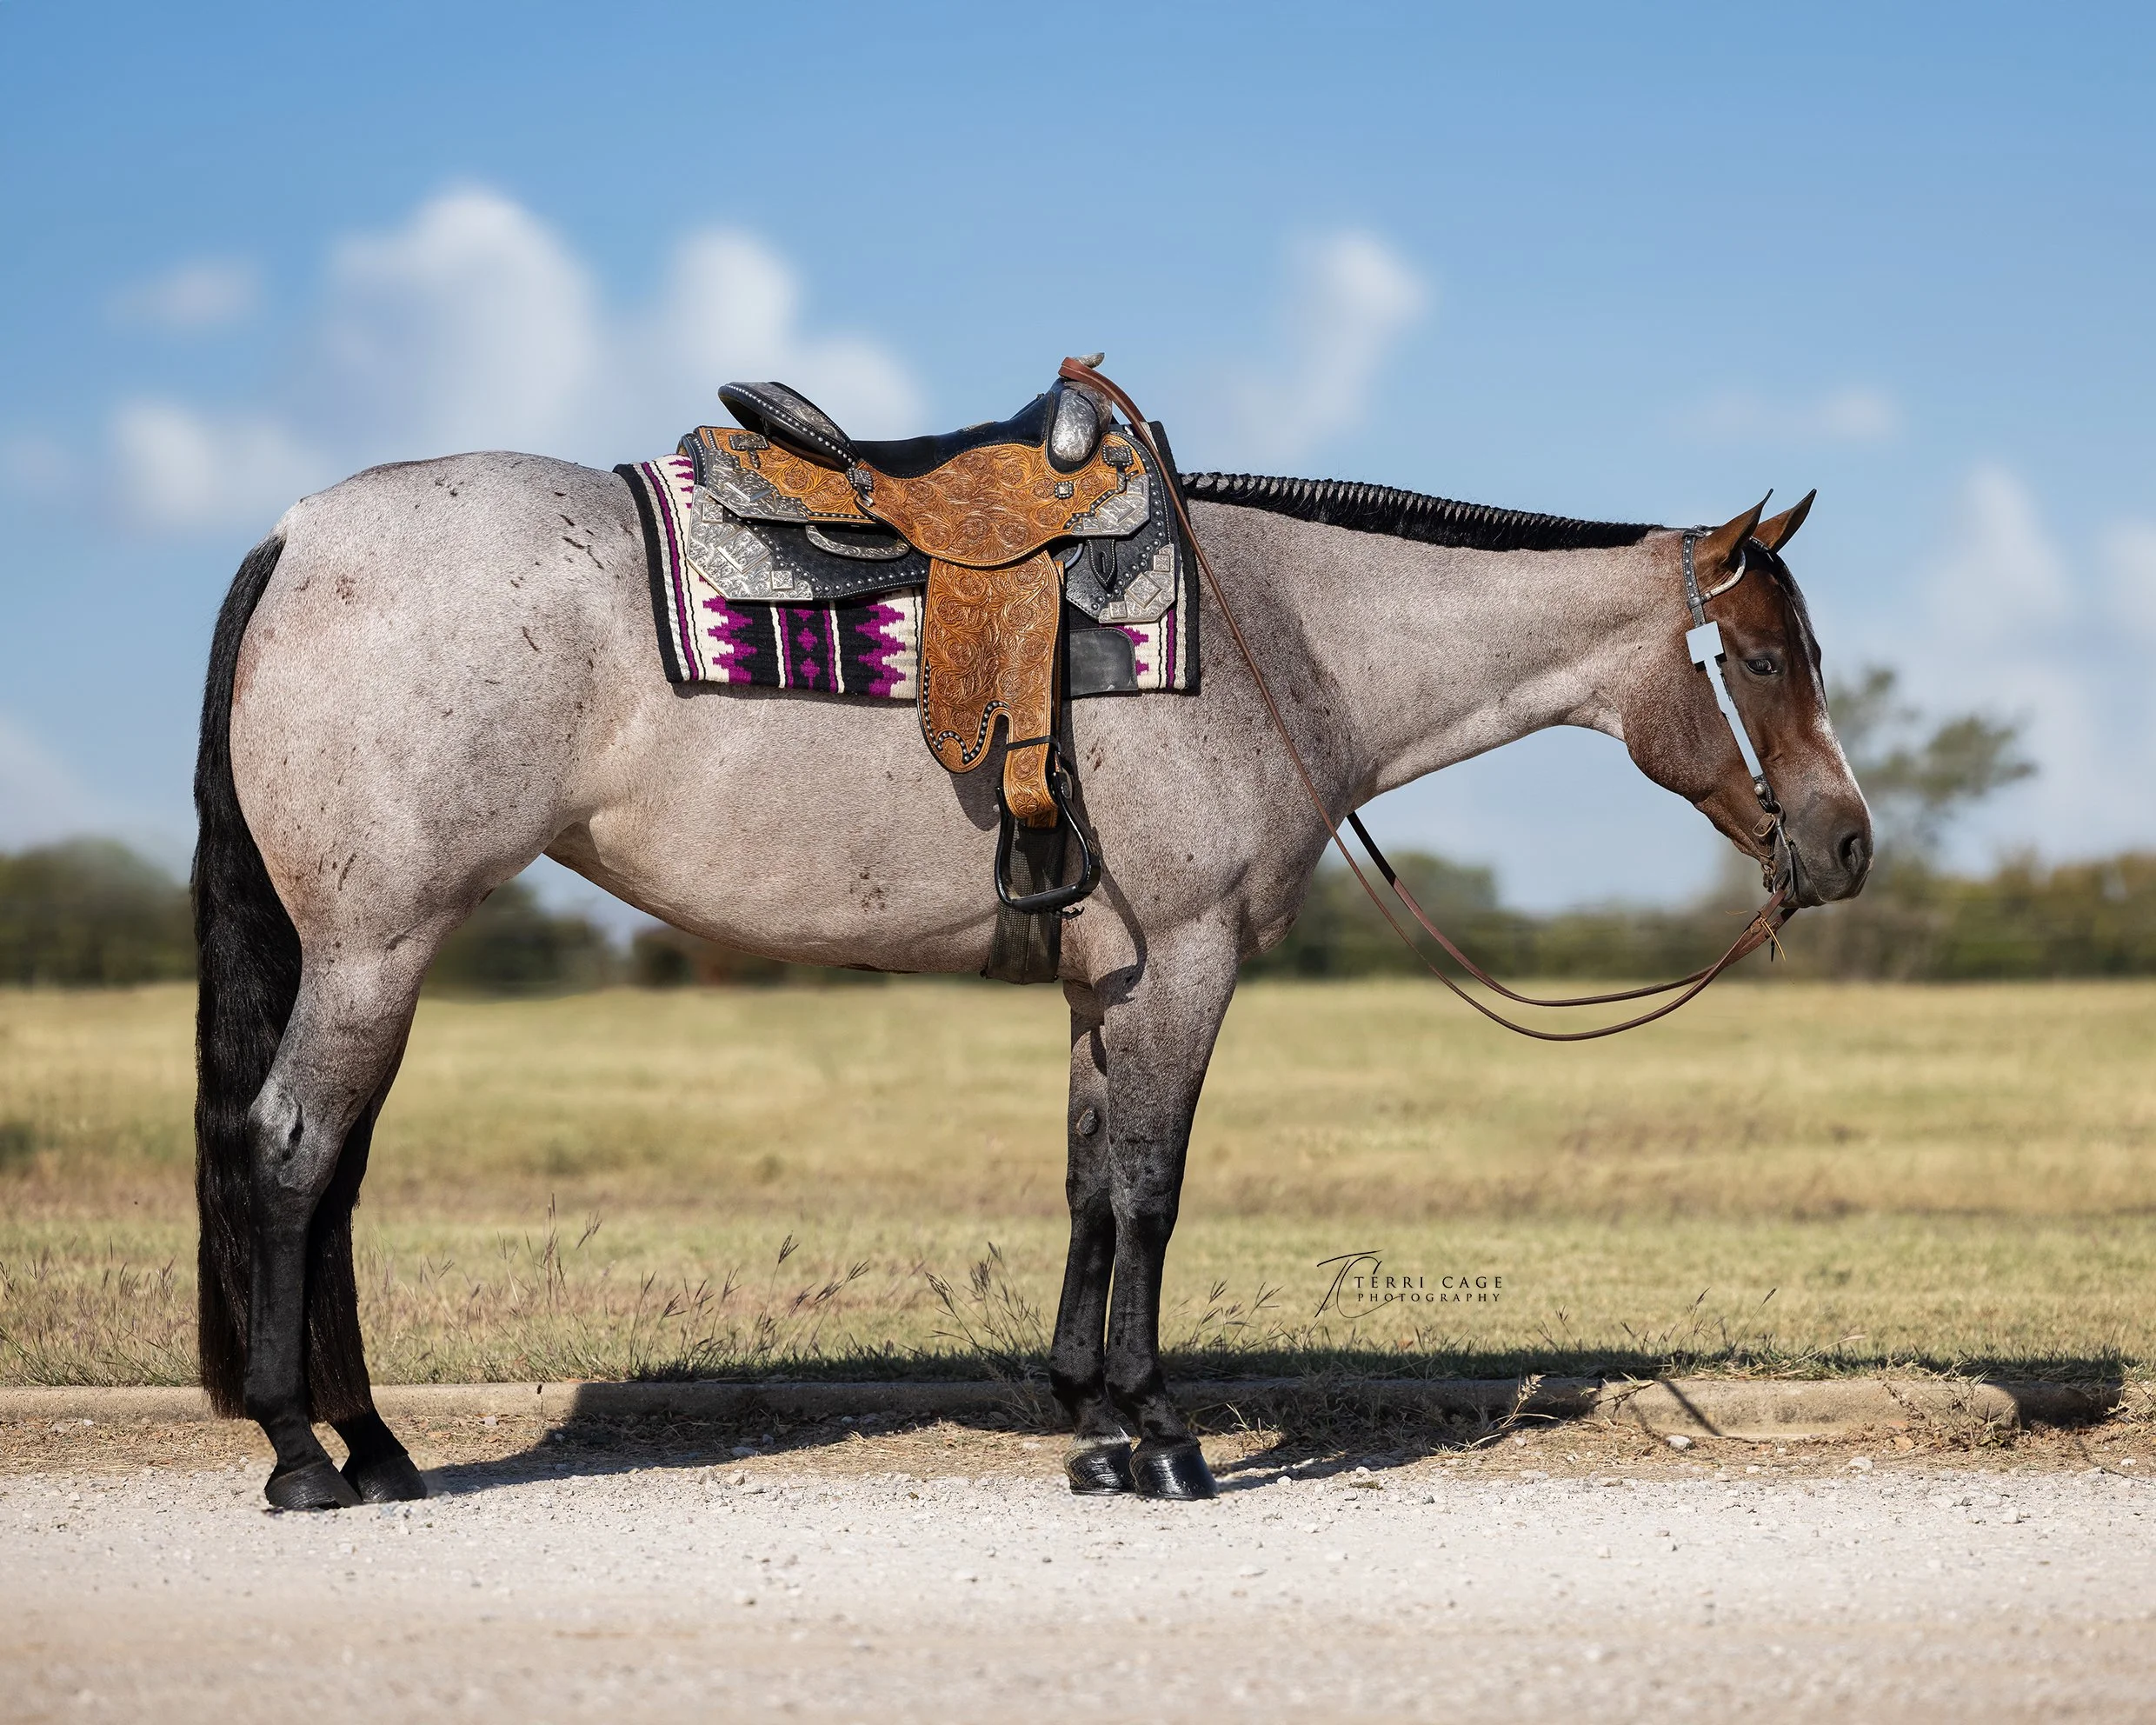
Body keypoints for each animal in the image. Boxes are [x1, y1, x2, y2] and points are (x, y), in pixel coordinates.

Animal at [192, 439, 1871, 1510]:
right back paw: (304, 1453)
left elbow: (1086, 1184)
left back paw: (373, 1444)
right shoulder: (1184, 963)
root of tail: (303, 533)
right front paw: (1163, 1436)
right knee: (289, 1156)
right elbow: (1152, 1191)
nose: (1848, 845)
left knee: (329, 1177)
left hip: (372, 960)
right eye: (1762, 660)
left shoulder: (1101, 982)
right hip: (375, 949)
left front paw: (1087, 1423)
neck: (1278, 639)